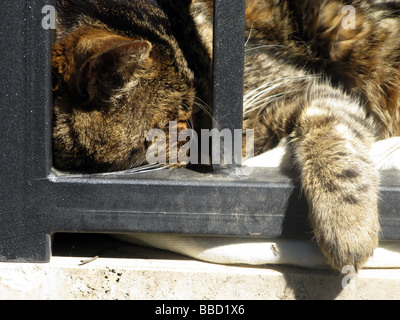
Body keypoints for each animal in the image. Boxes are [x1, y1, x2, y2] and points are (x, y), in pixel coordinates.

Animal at [52, 0, 400, 270]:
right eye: (181, 118)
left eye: (216, 85)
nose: (224, 139)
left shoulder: (303, 86)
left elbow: (333, 131)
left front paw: (348, 227)